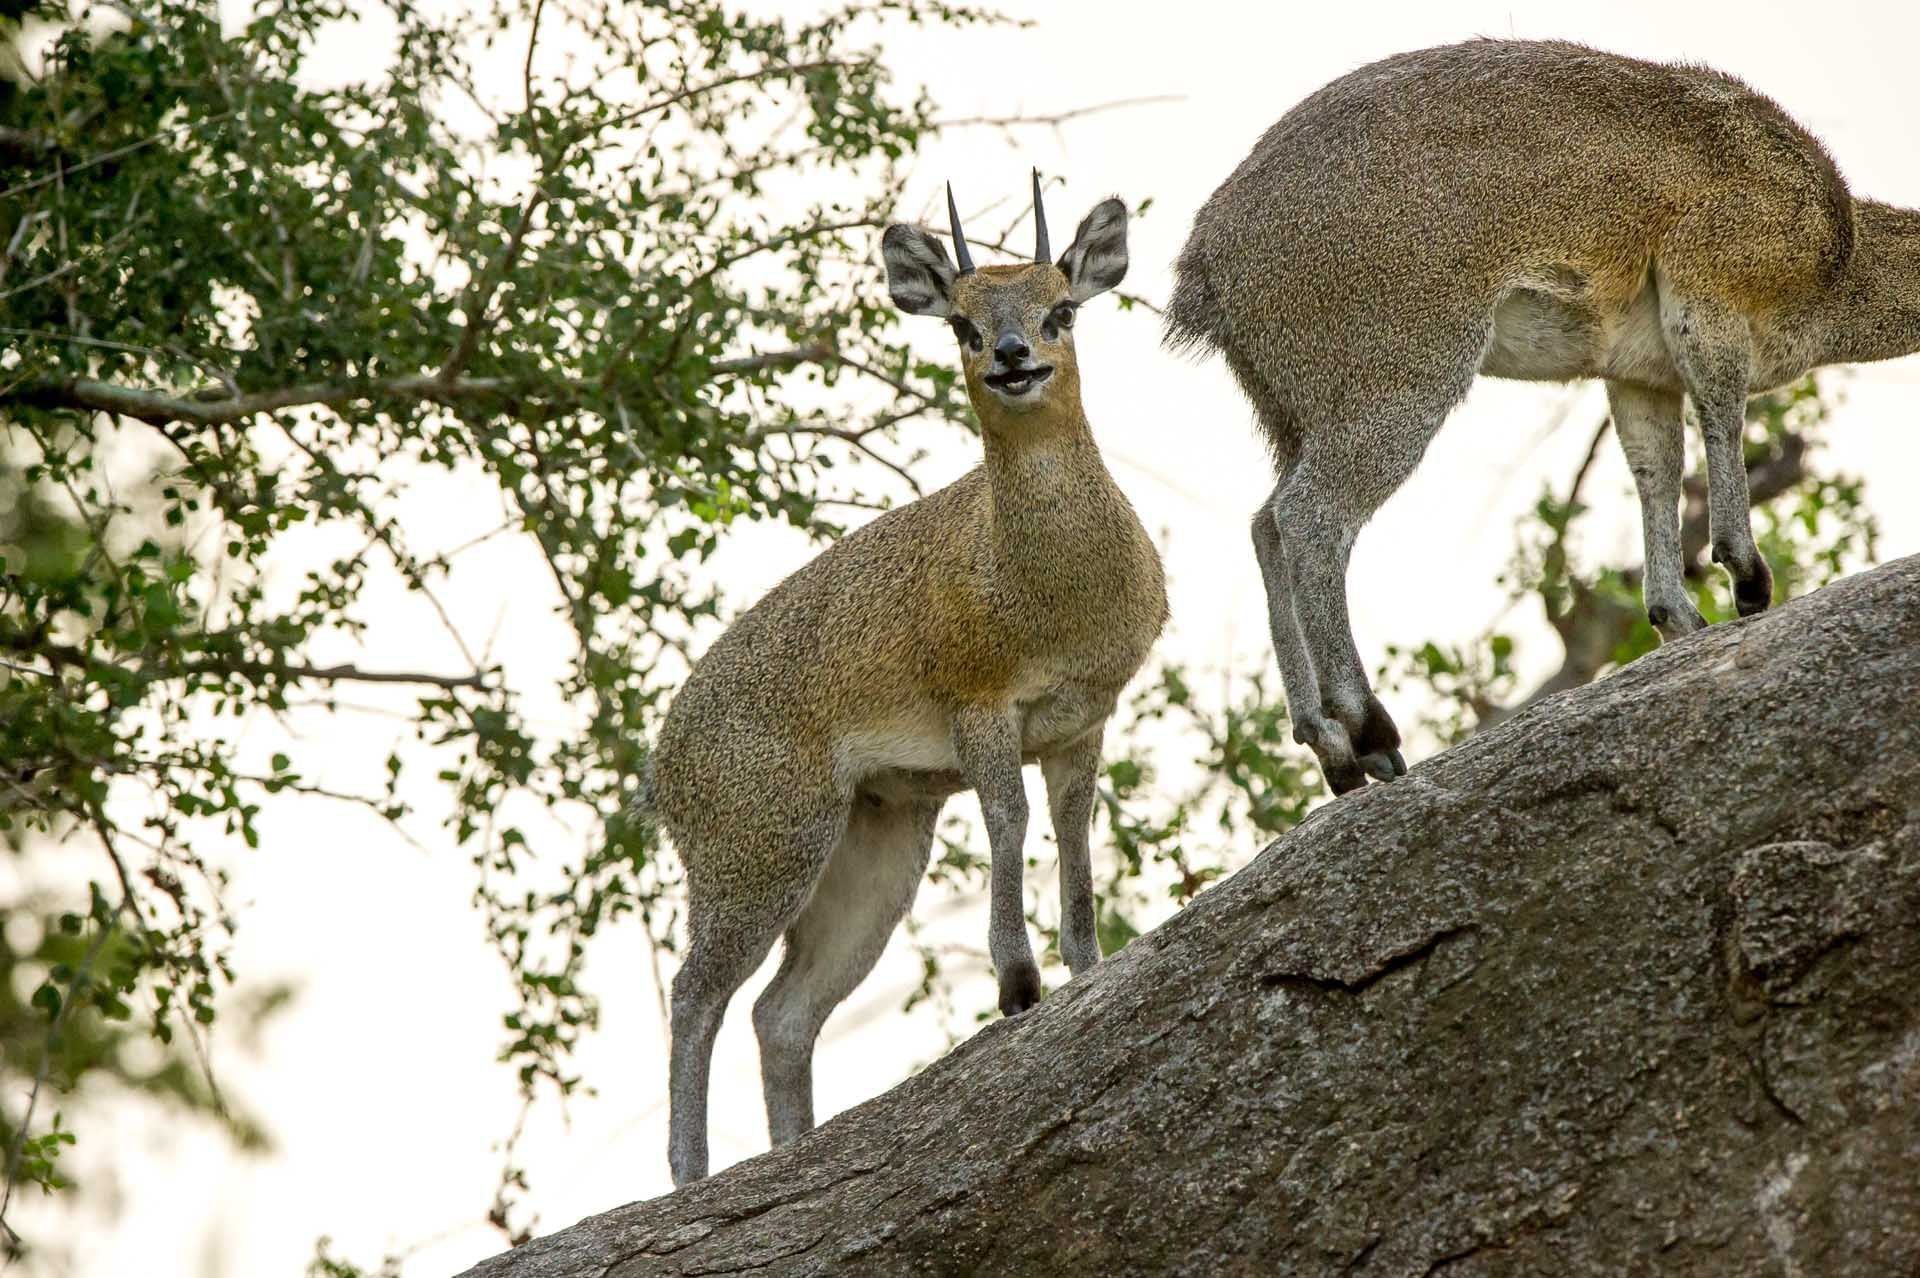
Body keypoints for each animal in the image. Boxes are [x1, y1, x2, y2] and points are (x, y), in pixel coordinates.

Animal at [648, 173, 1167, 1186]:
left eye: (1062, 308)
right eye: (960, 322)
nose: (1012, 357)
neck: (1049, 585)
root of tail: (663, 766)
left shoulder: (1083, 720)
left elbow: (1072, 830)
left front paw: (1086, 964)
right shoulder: (980, 708)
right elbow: (1010, 819)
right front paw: (1017, 982)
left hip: (875, 848)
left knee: (781, 1011)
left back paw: (791, 1150)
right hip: (761, 851)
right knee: (696, 993)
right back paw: (690, 1175)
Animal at [1165, 38, 1920, 795]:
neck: (1839, 259)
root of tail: (1205, 265)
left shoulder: (1638, 375)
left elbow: (1656, 468)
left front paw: (1678, 616)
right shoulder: (1707, 301)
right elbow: (1723, 416)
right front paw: (1747, 579)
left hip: (1291, 412)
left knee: (1265, 525)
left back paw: (1333, 750)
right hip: (1397, 378)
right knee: (1311, 518)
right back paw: (1371, 728)